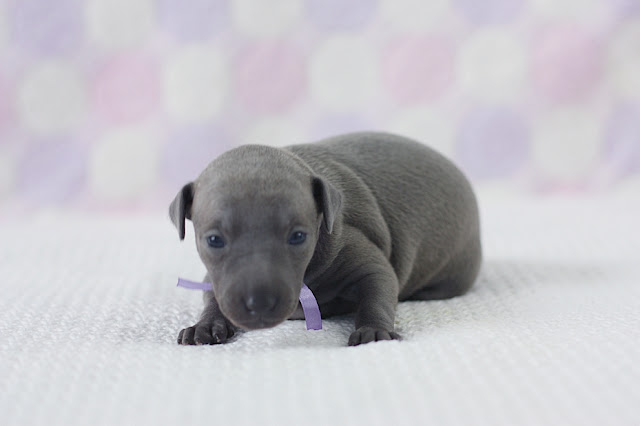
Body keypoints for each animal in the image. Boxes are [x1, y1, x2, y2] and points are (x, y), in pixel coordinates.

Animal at [170, 132, 480, 346]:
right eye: (214, 240)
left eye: (298, 236)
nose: (259, 303)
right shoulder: (216, 278)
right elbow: (213, 296)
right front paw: (205, 325)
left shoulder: (355, 247)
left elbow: (379, 287)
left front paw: (373, 329)